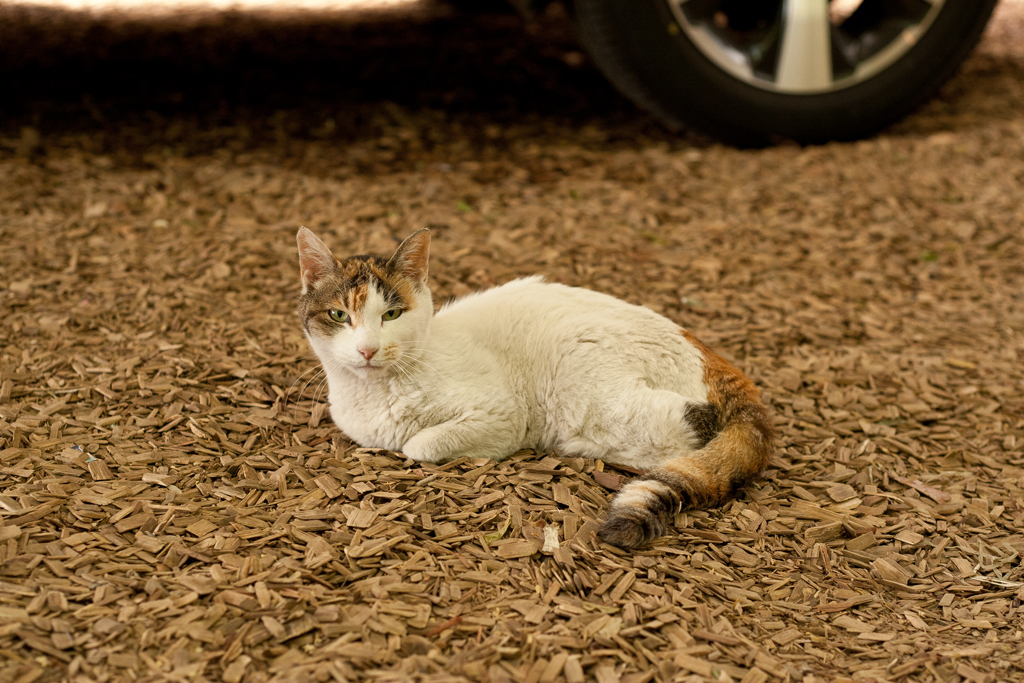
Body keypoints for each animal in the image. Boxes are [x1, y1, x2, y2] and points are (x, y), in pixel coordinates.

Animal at [292, 227, 770, 548]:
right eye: (338, 316)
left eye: (391, 315)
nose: (368, 349)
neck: (378, 394)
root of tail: (713, 356)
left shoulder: (503, 415)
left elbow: (418, 445)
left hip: (585, 384)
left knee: (693, 427)